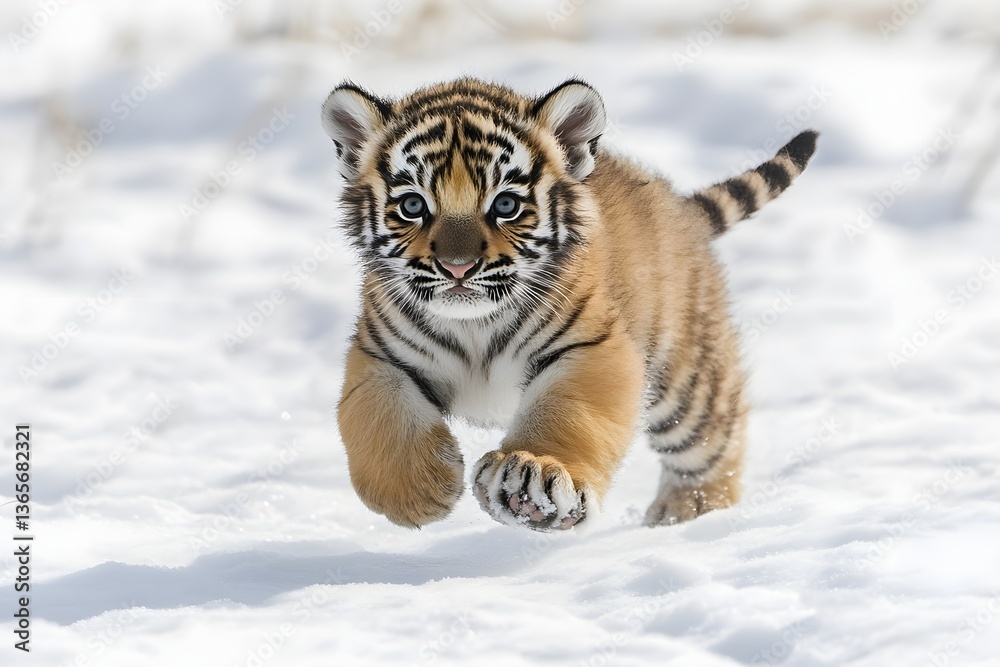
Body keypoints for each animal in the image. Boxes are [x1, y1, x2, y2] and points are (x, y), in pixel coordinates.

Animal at [321, 77, 816, 531]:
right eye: (412, 205)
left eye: (505, 205)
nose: (457, 268)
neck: (474, 325)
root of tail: (677, 205)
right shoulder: (381, 356)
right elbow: (379, 416)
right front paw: (420, 490)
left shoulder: (590, 346)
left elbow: (569, 412)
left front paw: (531, 481)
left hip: (685, 382)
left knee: (714, 440)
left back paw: (689, 511)